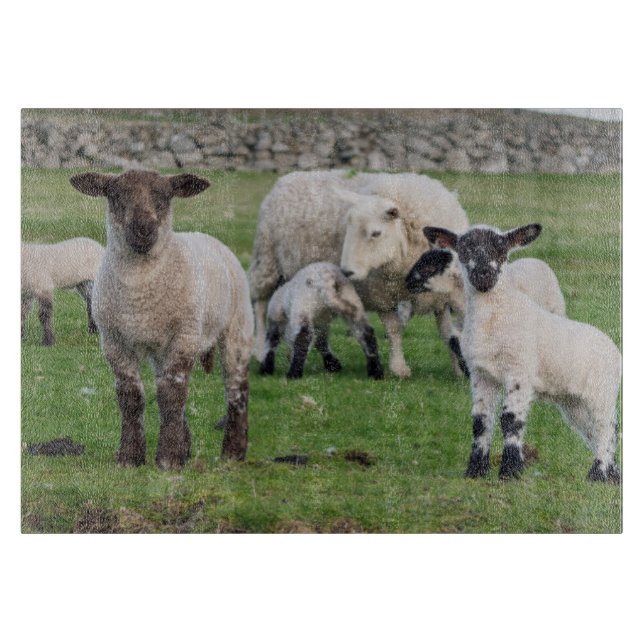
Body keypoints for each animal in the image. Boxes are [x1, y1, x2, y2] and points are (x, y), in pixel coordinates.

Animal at [70, 169, 253, 469]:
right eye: (115, 195)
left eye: (165, 196)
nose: (143, 229)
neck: (139, 291)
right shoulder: (113, 342)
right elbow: (131, 397)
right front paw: (130, 457)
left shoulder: (184, 336)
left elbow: (172, 394)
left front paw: (168, 458)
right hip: (161, 349)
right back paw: (187, 446)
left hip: (236, 328)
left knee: (236, 389)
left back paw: (233, 452)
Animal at [248, 170, 470, 379]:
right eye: (348, 229)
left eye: (376, 233)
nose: (346, 271)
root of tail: (288, 177)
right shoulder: (380, 295)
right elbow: (394, 330)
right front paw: (399, 367)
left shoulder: (440, 298)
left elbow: (448, 334)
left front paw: (459, 369)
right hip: (267, 260)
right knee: (260, 305)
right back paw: (260, 350)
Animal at [424, 223, 621, 483]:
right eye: (464, 248)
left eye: (502, 249)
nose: (484, 275)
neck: (494, 318)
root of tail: (613, 348)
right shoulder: (481, 374)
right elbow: (480, 421)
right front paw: (475, 471)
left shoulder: (519, 371)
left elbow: (510, 419)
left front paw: (510, 471)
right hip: (573, 402)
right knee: (591, 431)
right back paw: (613, 476)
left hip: (601, 392)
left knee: (606, 428)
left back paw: (598, 474)